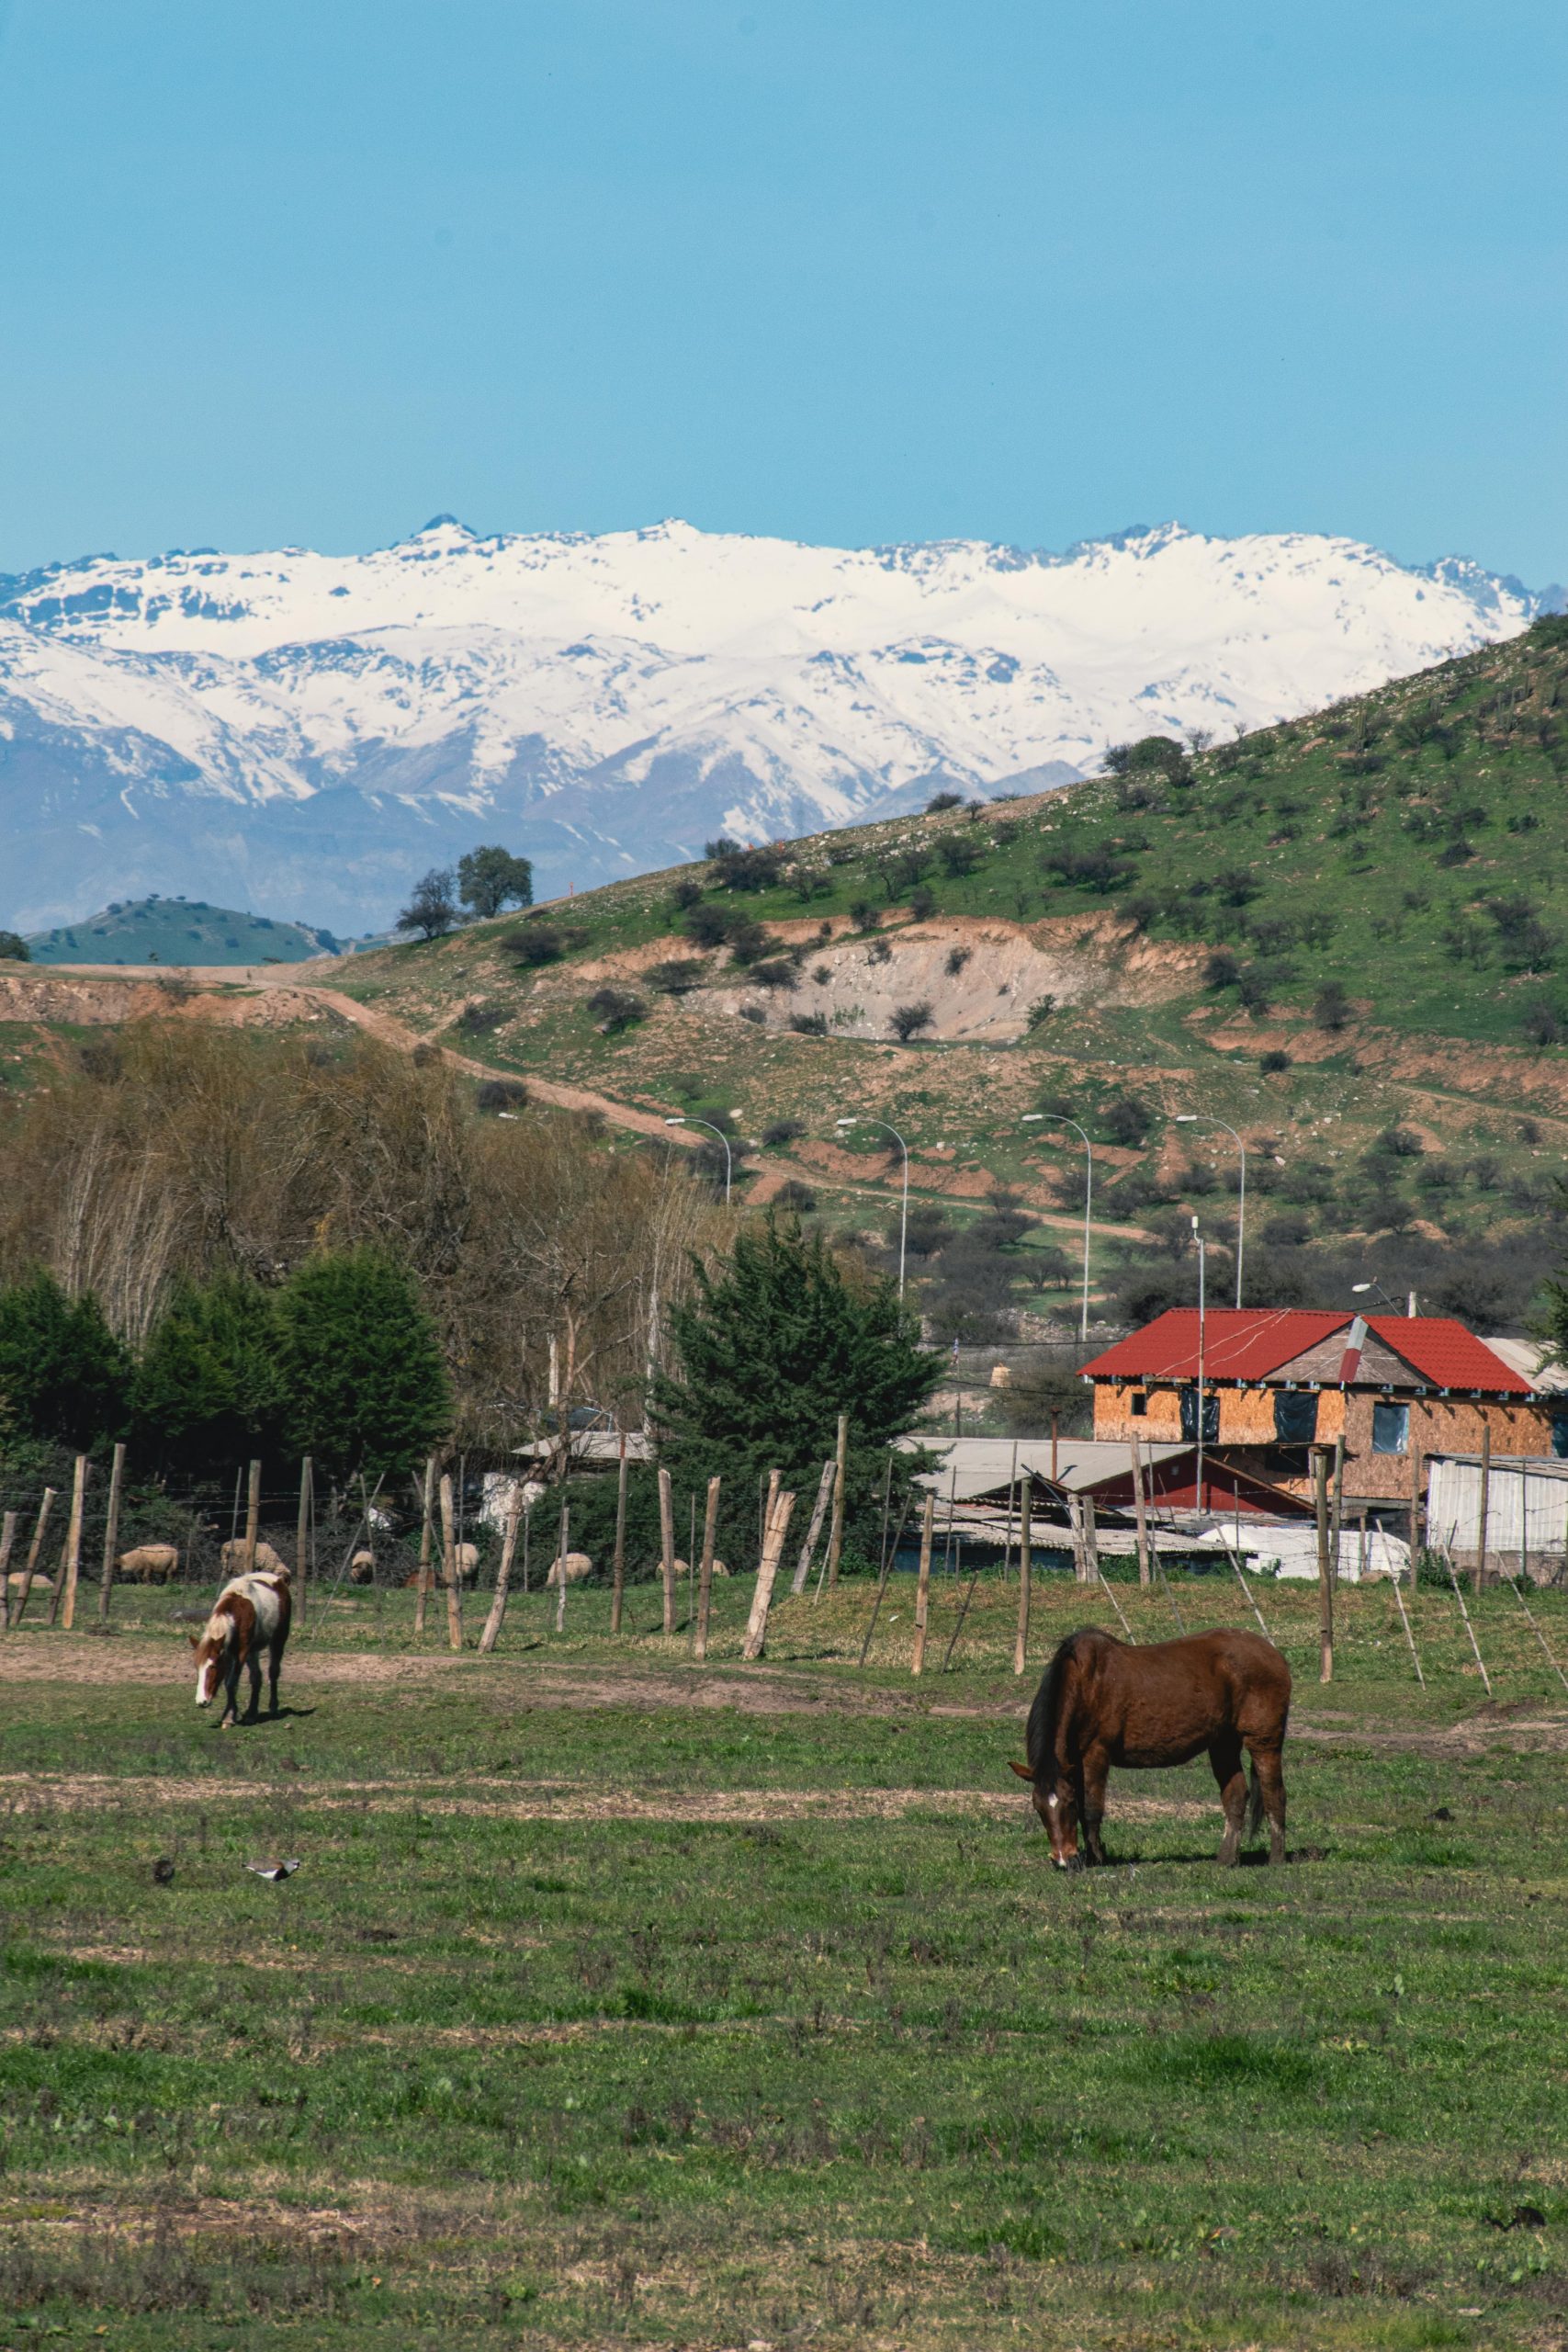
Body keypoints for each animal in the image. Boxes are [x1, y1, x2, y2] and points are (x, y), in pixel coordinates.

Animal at [189, 1561, 291, 1731]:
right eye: (197, 1667)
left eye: (213, 1666)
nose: (201, 1701)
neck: (238, 1611)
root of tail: (279, 1580)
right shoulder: (229, 1653)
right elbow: (232, 1682)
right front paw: (233, 1714)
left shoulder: (241, 1652)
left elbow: (231, 1683)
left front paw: (229, 1718)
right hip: (253, 1650)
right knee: (256, 1677)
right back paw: (251, 1714)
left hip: (278, 1640)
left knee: (273, 1672)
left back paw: (273, 1707)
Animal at [1010, 1627, 1297, 1862]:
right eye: (1037, 1807)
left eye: (1067, 1803)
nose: (1062, 1859)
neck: (1087, 1682)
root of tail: (1274, 1654)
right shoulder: (1075, 1764)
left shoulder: (1096, 1754)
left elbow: (1090, 1809)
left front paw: (1095, 1857)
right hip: (1223, 1743)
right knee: (1236, 1796)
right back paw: (1226, 1860)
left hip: (1264, 1742)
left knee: (1274, 1795)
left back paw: (1276, 1859)